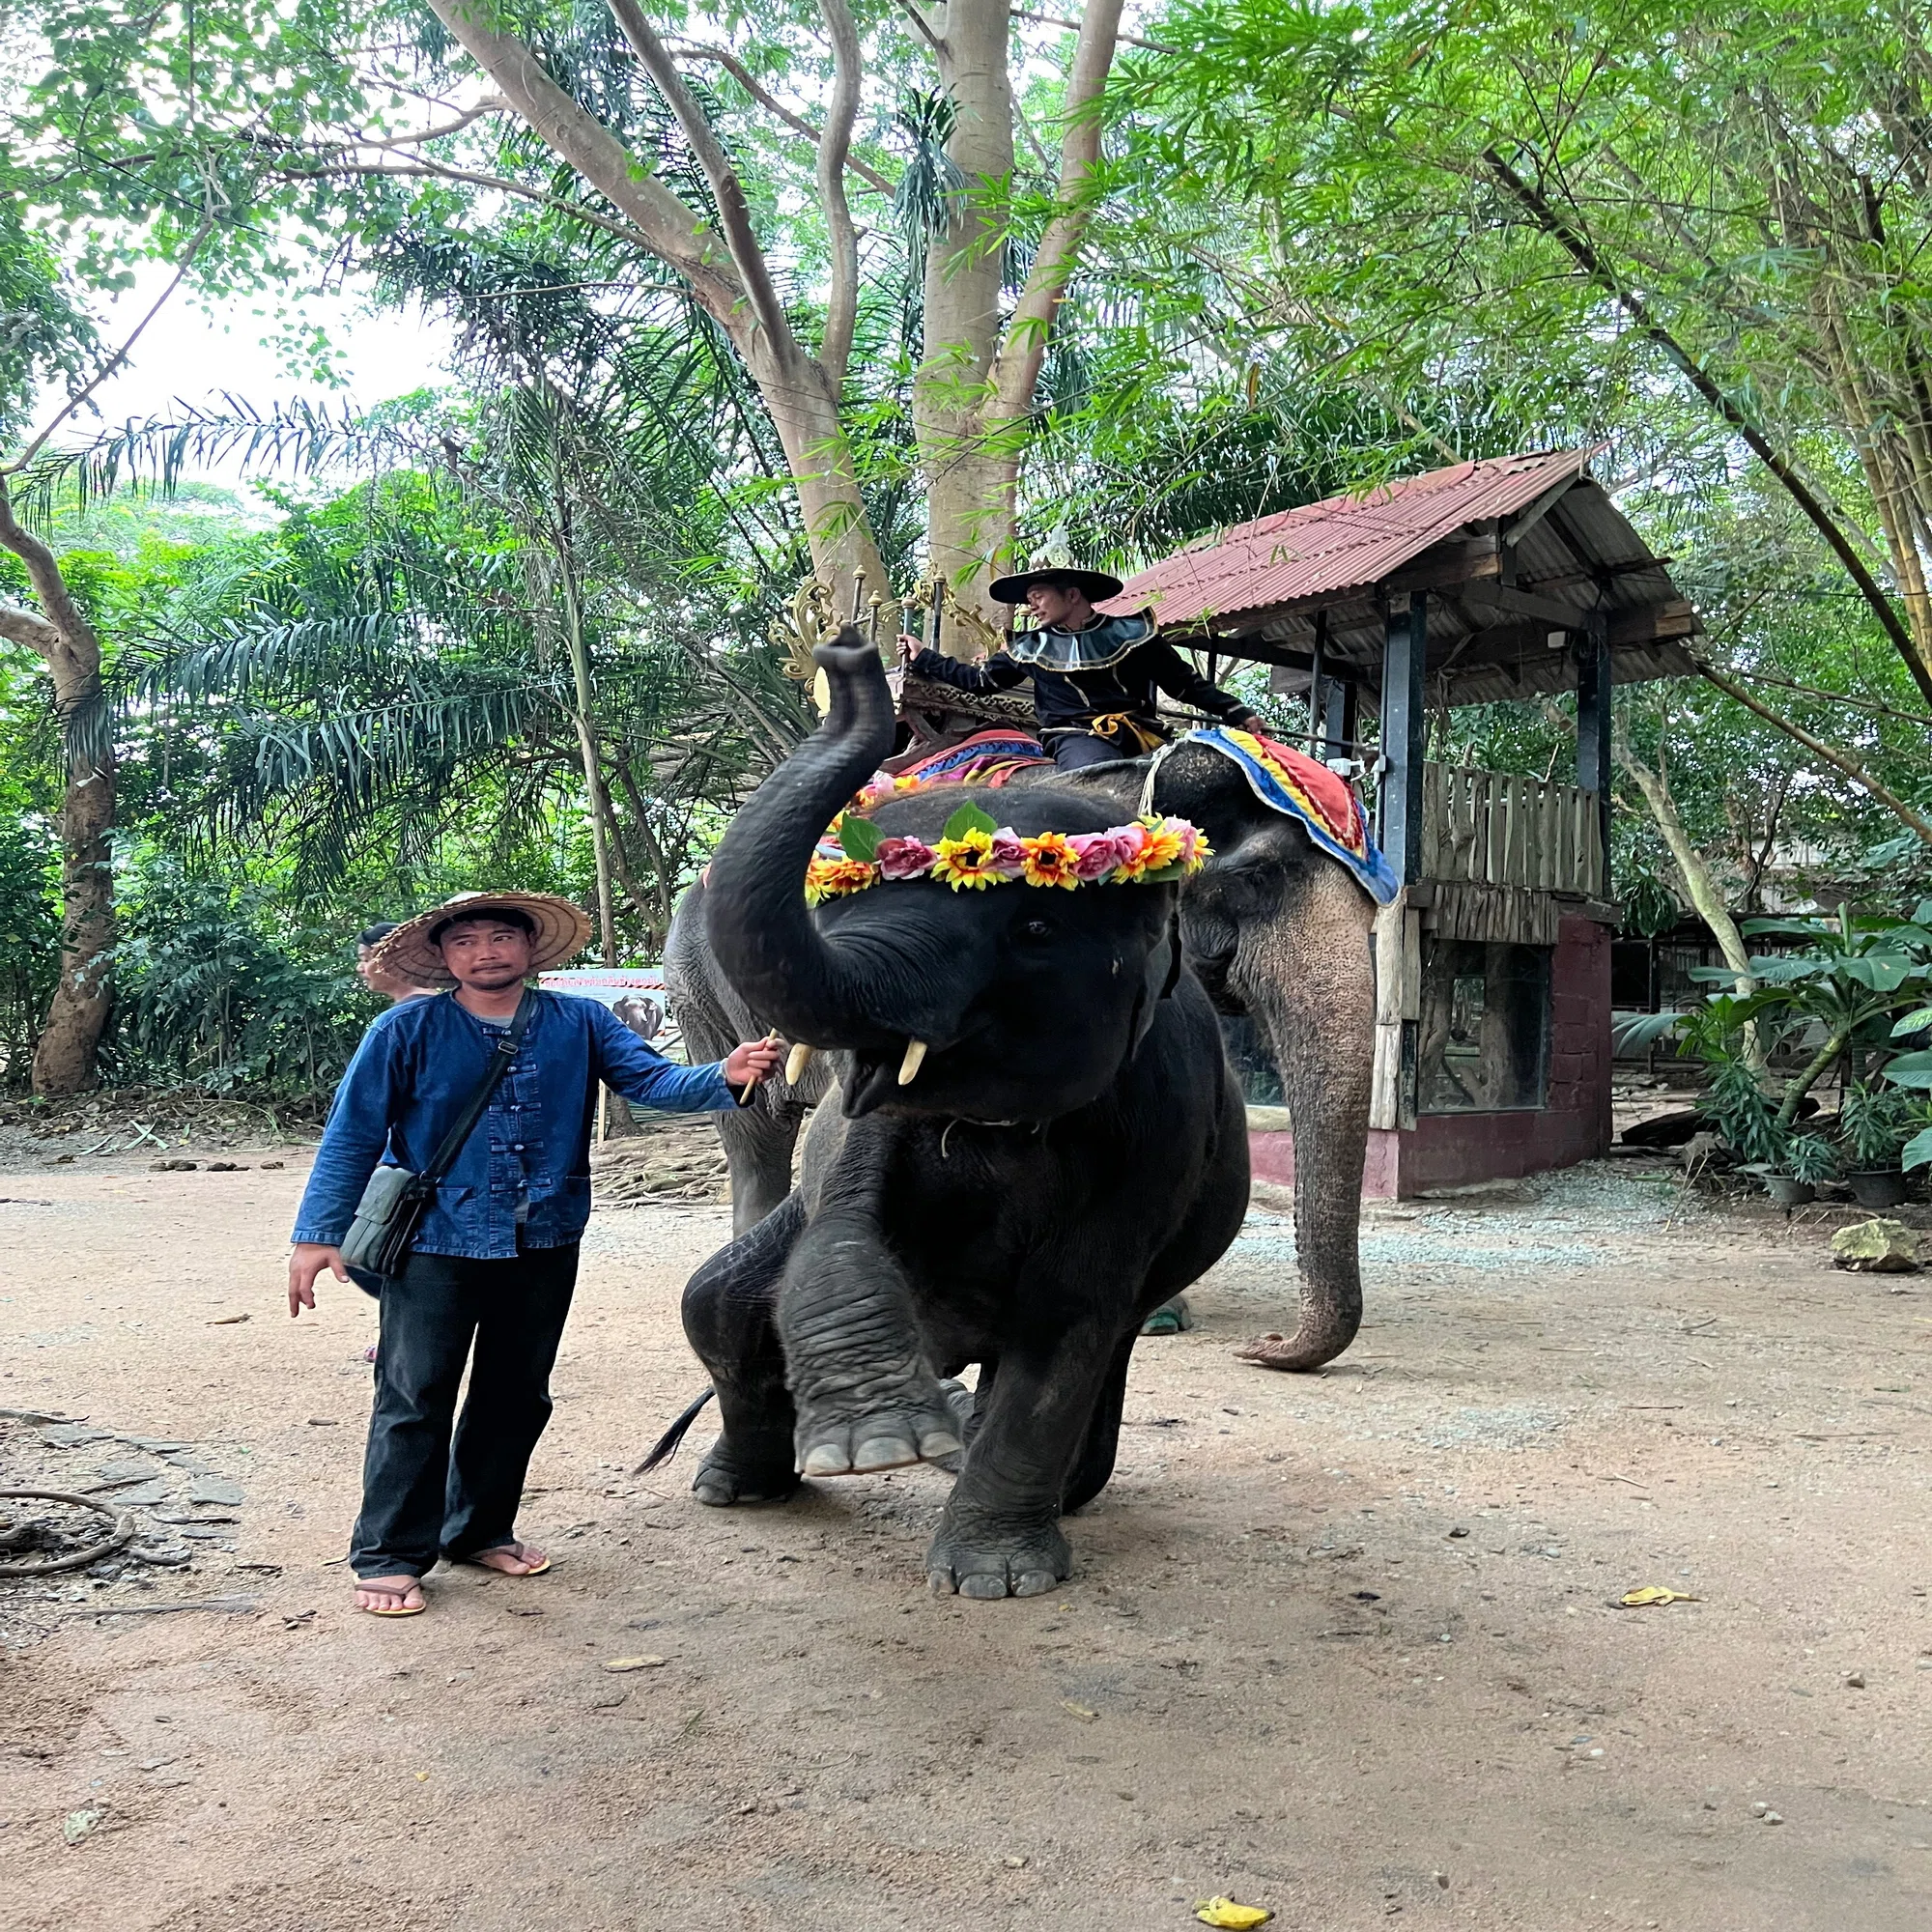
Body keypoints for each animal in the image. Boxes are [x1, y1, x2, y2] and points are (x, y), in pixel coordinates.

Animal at [661, 633, 1250, 1597]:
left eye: (1038, 926)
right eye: (841, 897)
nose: (851, 651)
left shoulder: (1159, 1125)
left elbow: (1067, 1322)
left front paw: (995, 1578)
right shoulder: (862, 1114)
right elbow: (839, 1218)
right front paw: (876, 1445)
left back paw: (989, 1449)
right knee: (715, 1298)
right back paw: (743, 1487)